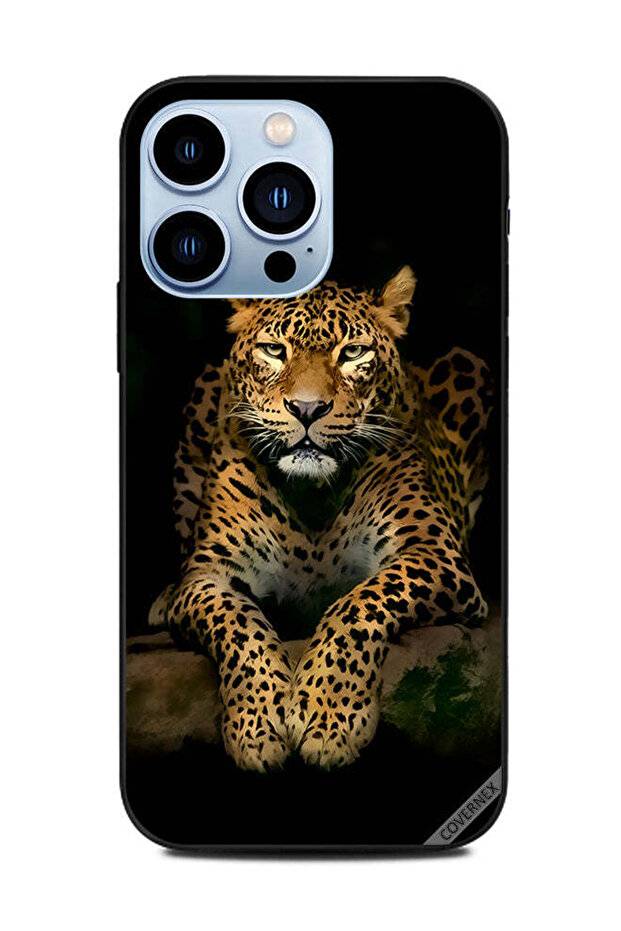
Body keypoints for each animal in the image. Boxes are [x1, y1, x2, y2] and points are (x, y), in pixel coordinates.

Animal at [148, 267, 494, 772]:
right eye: (275, 350)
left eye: (352, 353)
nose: (307, 409)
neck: (310, 496)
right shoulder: (209, 575)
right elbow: (237, 623)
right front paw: (258, 725)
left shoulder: (434, 552)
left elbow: (359, 604)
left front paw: (328, 718)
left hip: (469, 364)